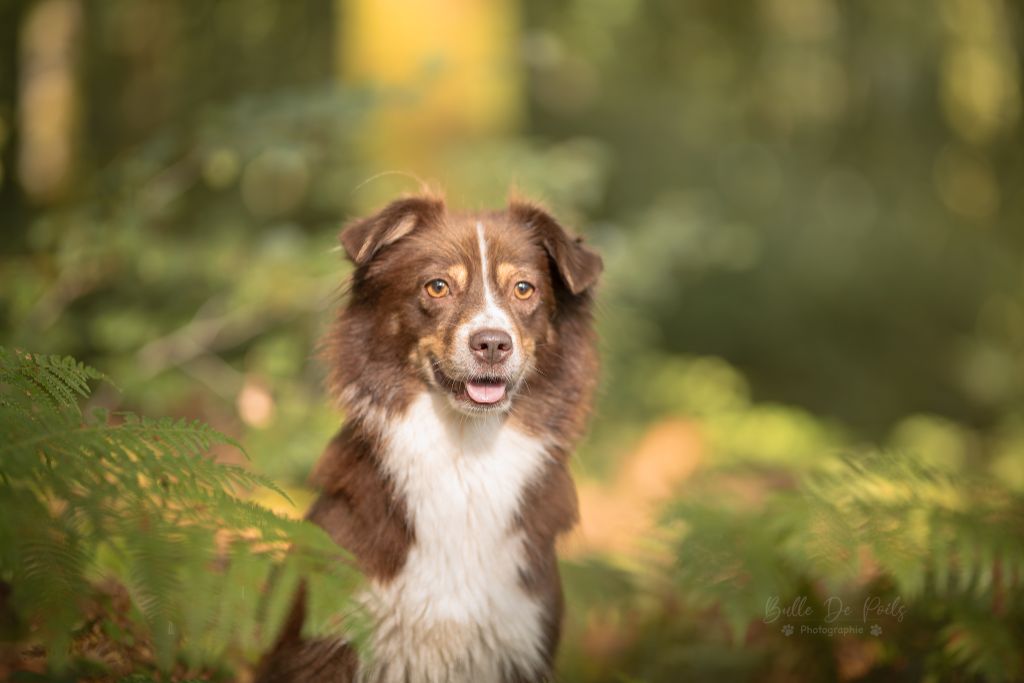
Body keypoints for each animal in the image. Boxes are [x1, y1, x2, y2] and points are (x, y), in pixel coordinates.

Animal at [256, 193, 602, 683]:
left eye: (524, 289)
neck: (465, 454)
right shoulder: (323, 641)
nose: (492, 344)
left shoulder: (520, 638)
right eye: (437, 287)